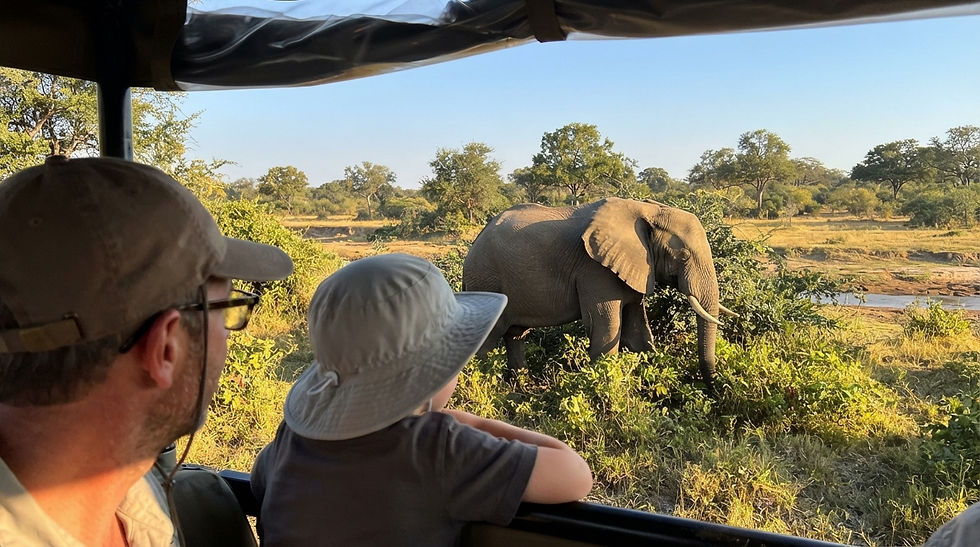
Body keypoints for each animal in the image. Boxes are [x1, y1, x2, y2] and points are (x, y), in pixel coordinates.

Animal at [461, 197, 736, 386]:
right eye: (684, 256)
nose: (713, 386)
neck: (647, 210)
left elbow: (637, 332)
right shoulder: (594, 270)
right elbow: (605, 328)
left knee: (515, 335)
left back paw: (519, 389)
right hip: (485, 281)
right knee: (486, 340)